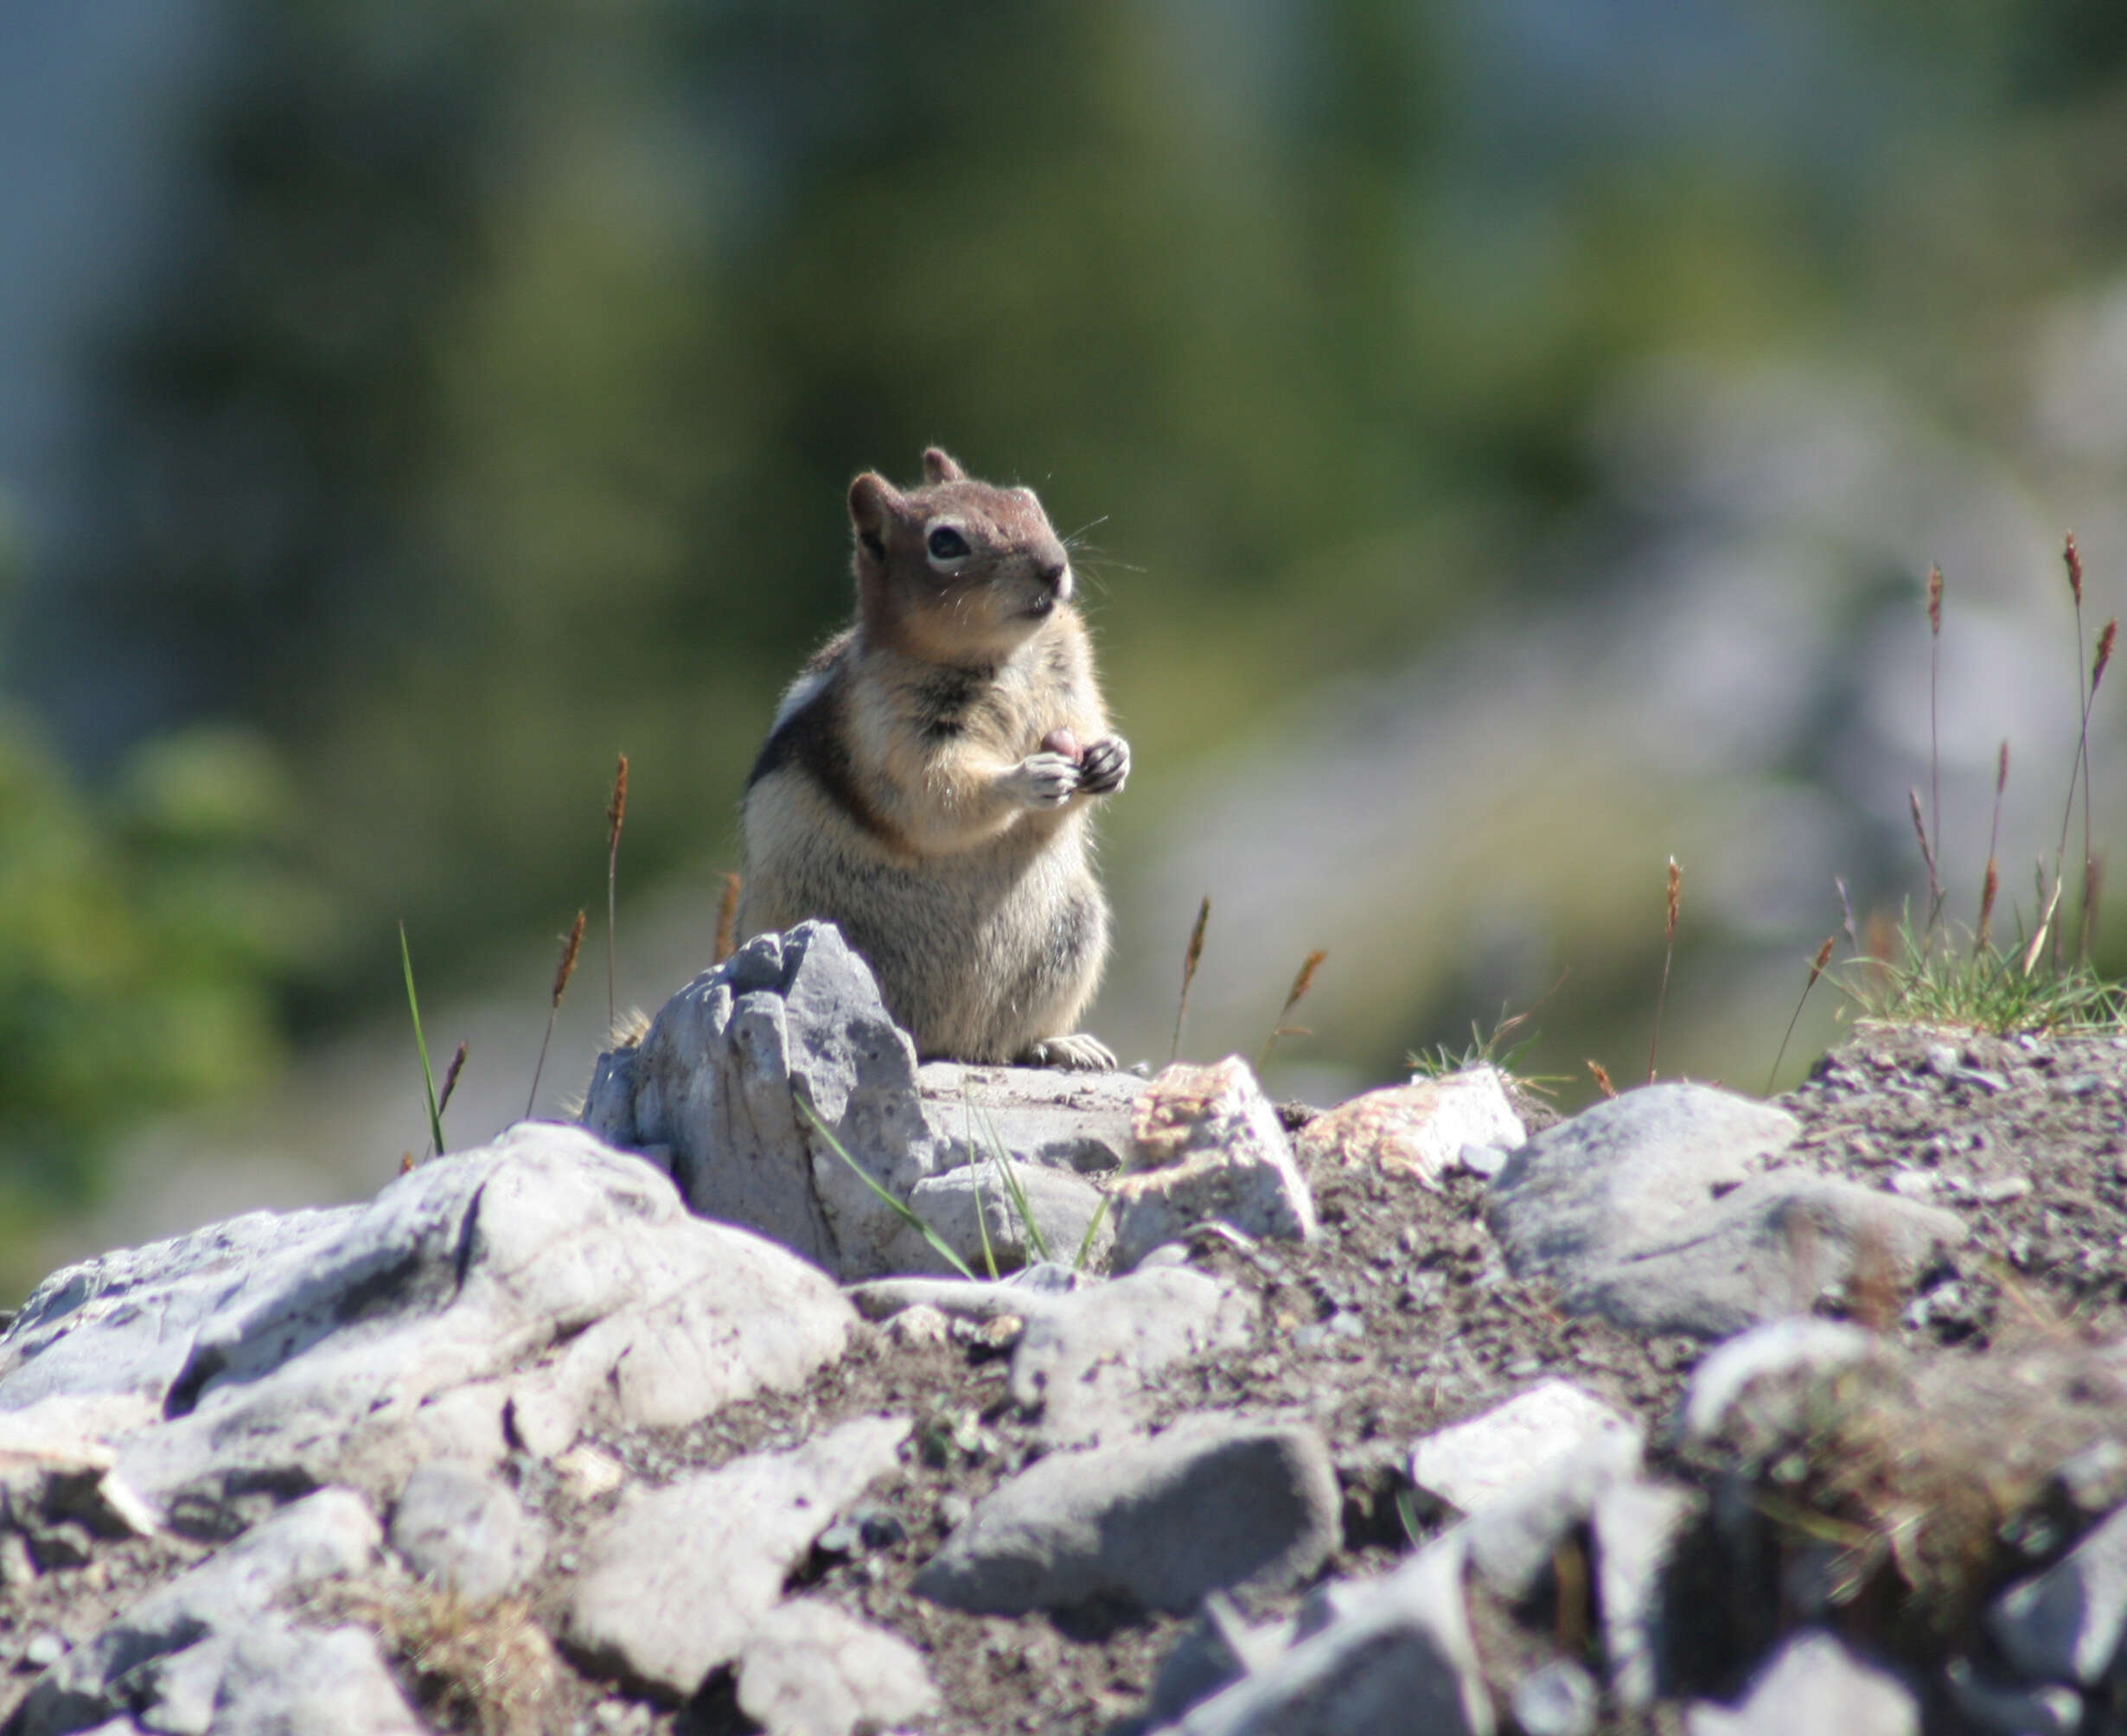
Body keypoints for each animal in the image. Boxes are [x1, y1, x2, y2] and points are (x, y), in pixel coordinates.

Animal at [736, 444, 1131, 1072]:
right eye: (946, 542)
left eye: (1028, 502)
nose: (1054, 567)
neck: (1004, 657)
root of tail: (953, 1045)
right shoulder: (889, 729)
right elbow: (936, 798)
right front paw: (1025, 778)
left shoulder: (1074, 683)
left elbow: (1088, 727)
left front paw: (1113, 756)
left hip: (1074, 929)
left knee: (1014, 1039)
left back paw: (1062, 1043)